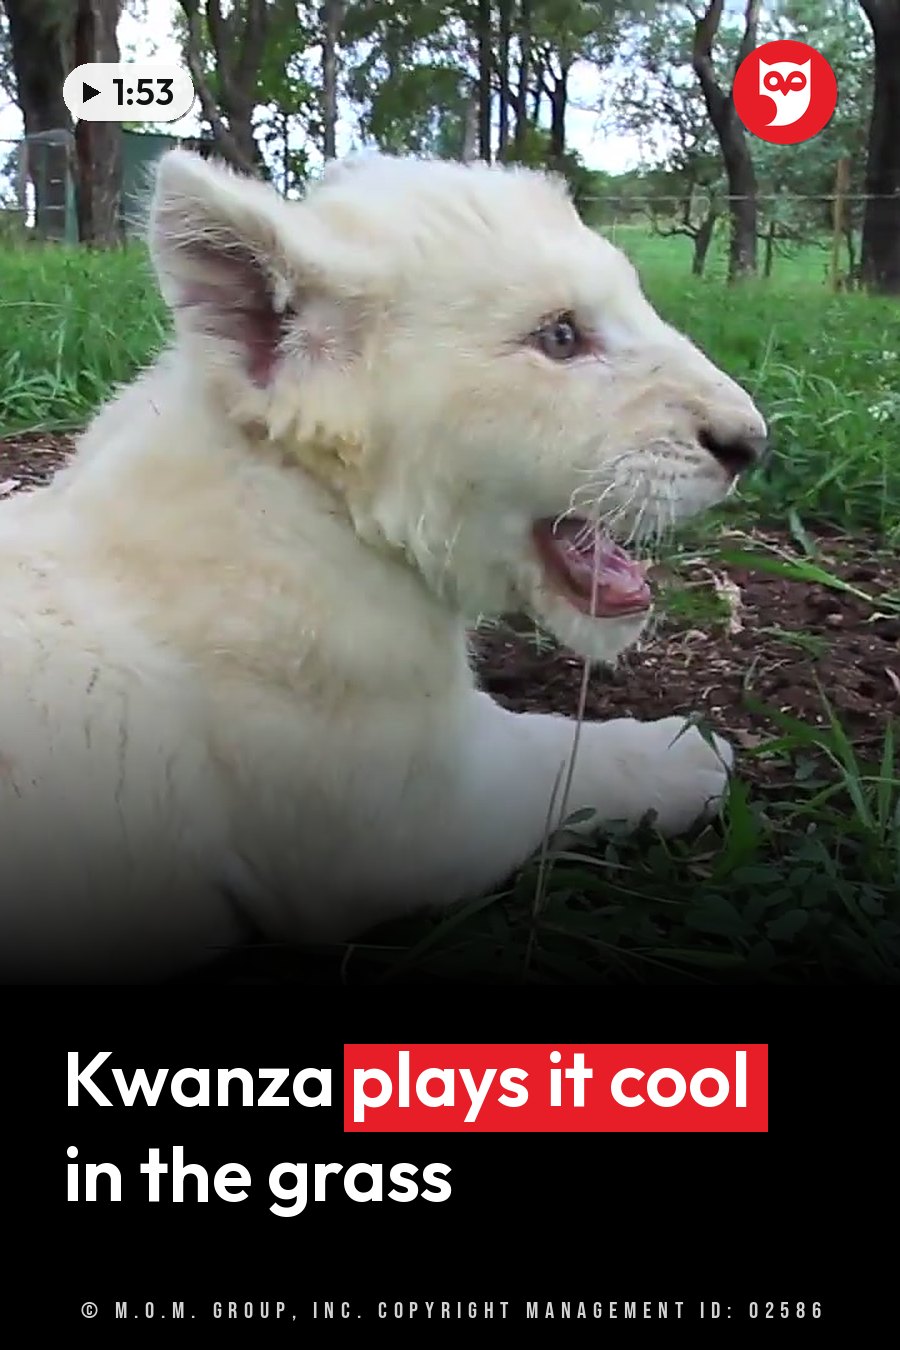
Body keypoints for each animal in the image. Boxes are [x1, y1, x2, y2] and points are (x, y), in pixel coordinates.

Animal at [0, 150, 766, 981]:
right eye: (561, 336)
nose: (752, 442)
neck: (319, 504)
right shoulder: (397, 826)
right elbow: (556, 758)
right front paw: (686, 754)